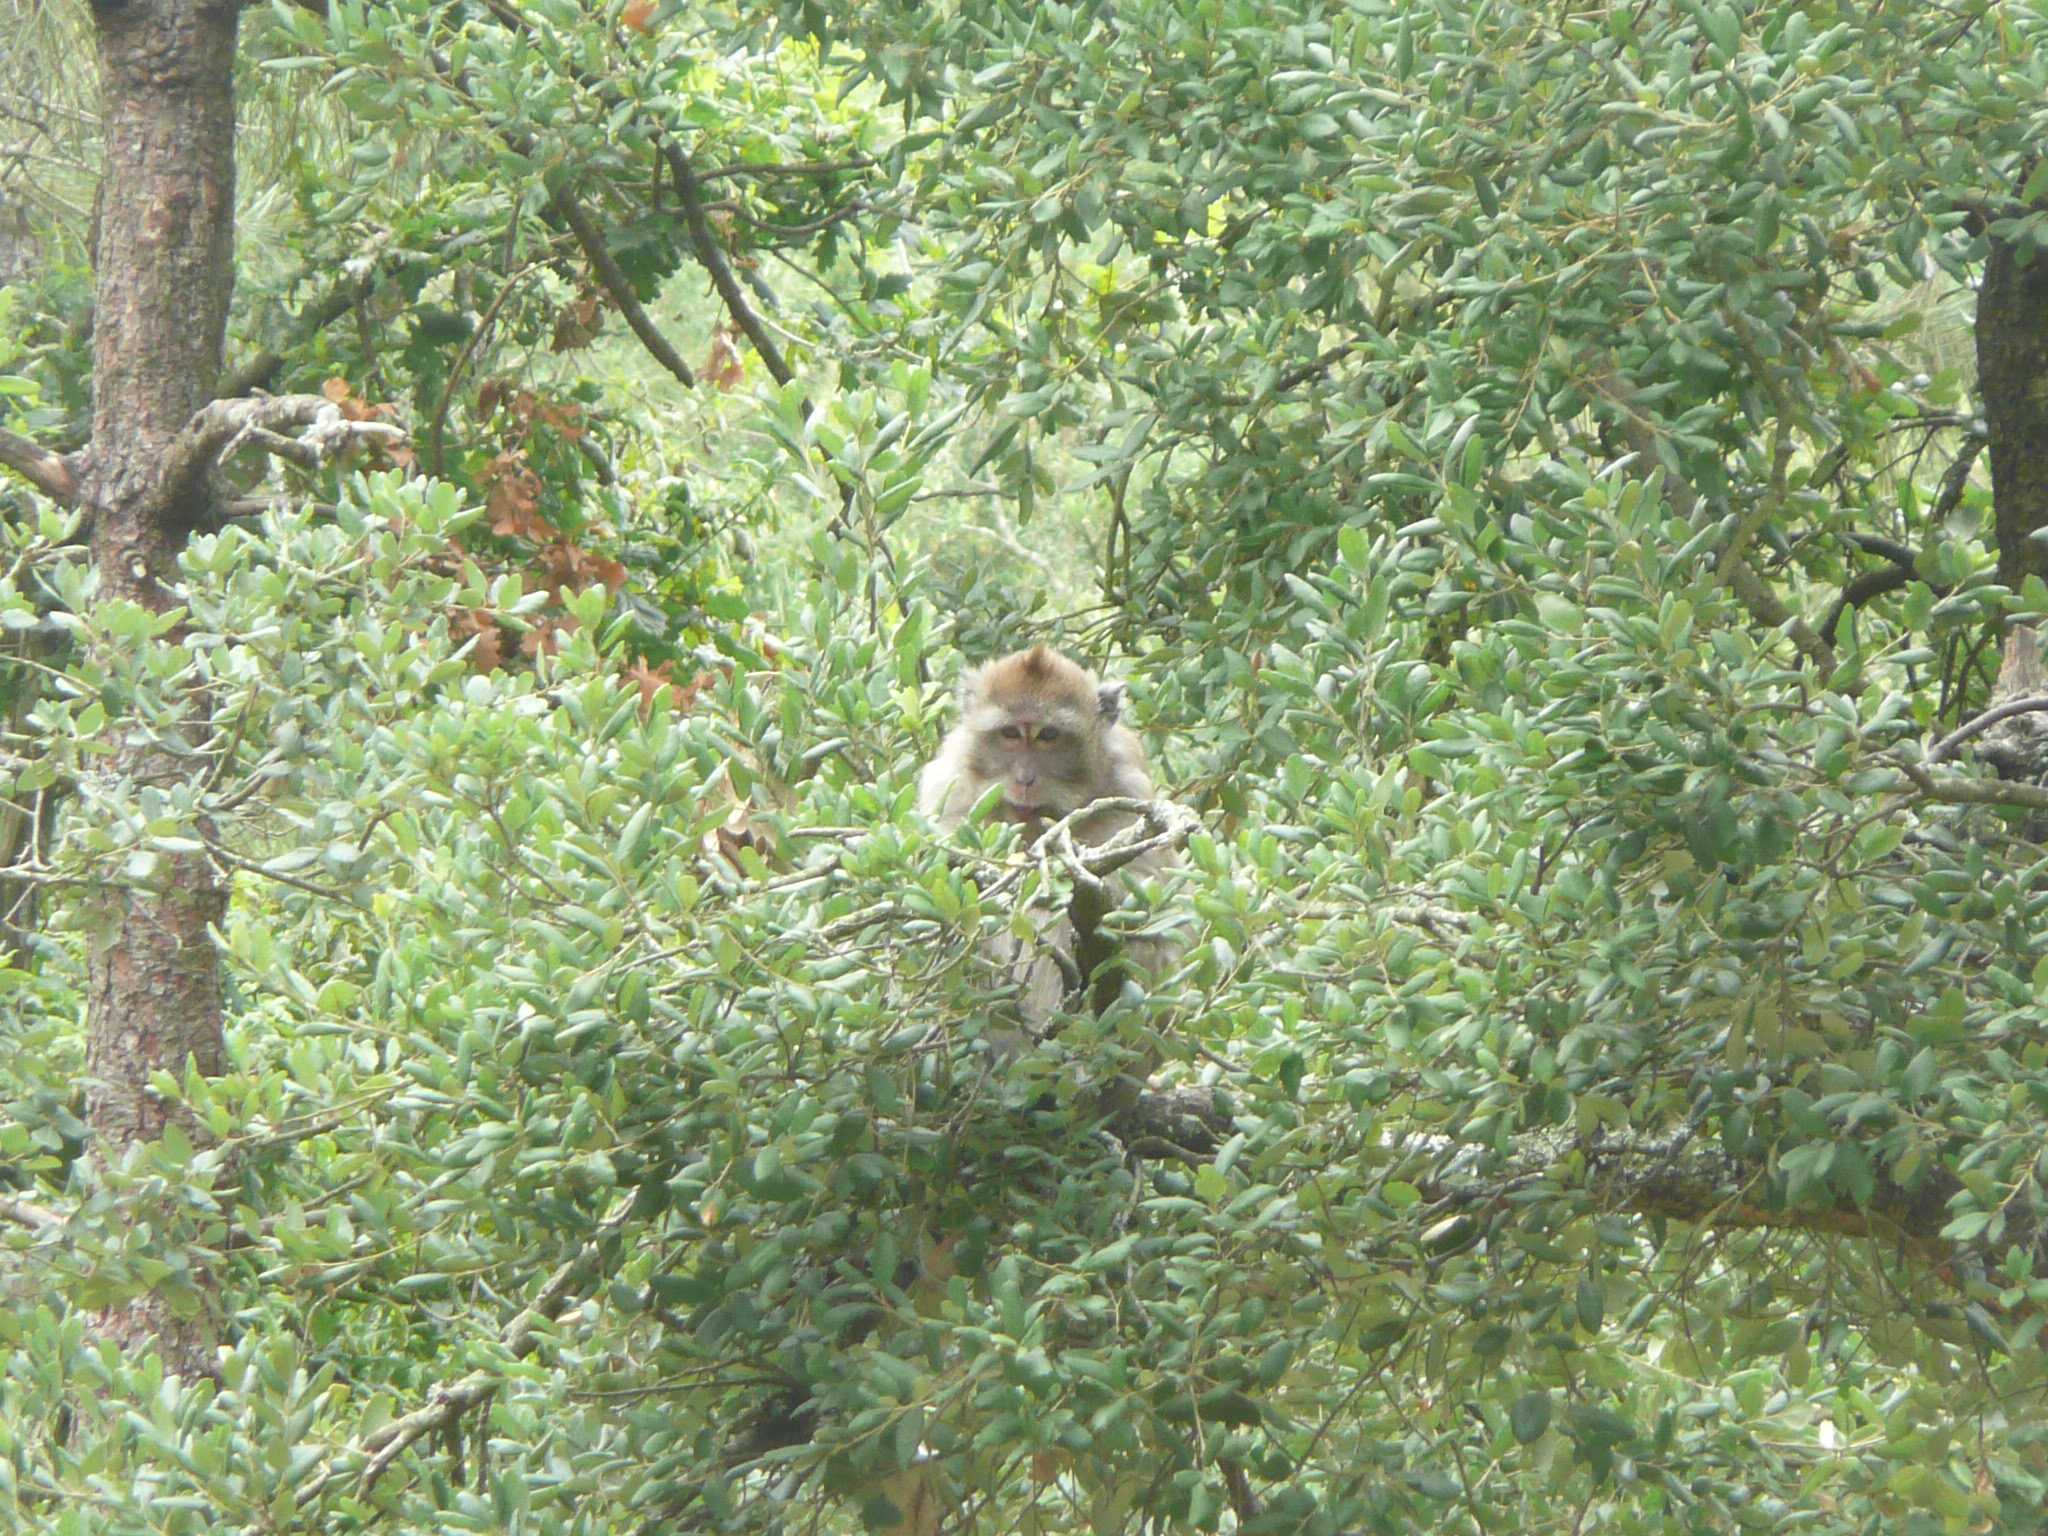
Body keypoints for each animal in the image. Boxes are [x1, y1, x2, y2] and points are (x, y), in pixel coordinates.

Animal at [919, 646, 1181, 1069]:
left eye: (1049, 736)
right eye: (1010, 734)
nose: (1025, 779)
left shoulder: (1131, 787)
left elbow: (1156, 918)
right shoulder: (948, 785)